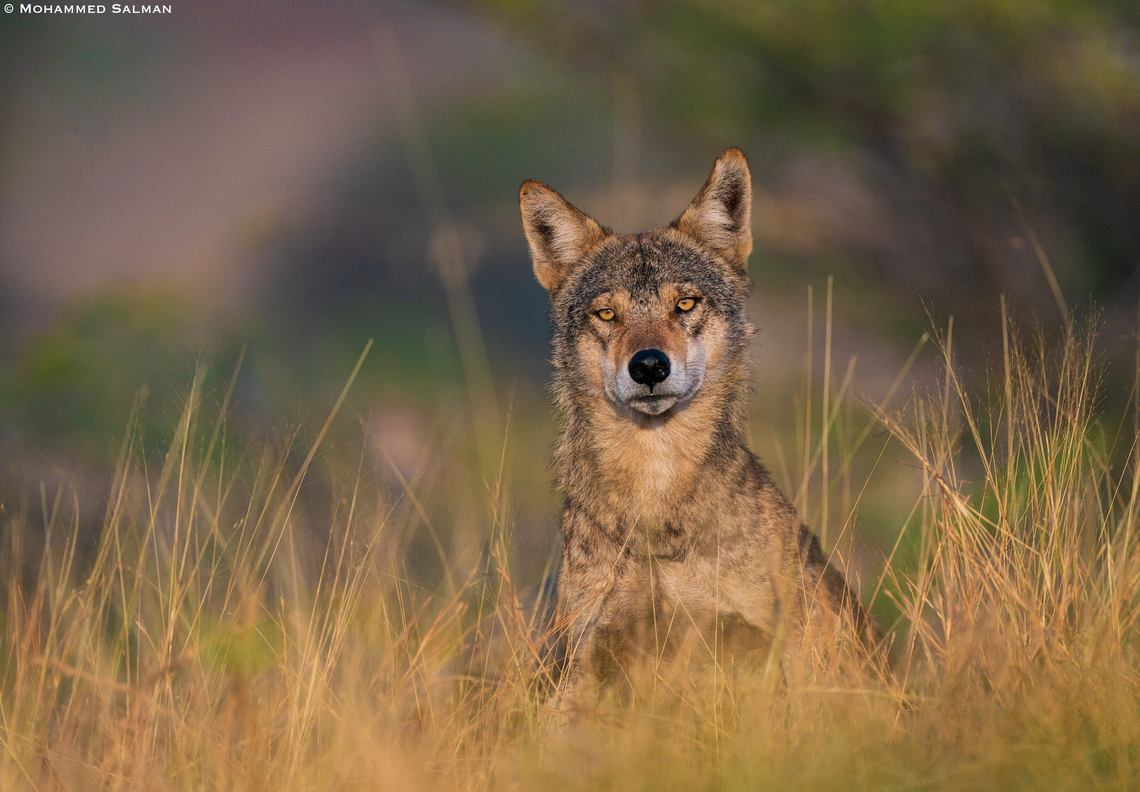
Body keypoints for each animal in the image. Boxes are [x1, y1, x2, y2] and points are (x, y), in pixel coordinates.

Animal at [519, 149, 881, 724]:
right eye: (607, 313)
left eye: (685, 305)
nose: (648, 366)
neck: (656, 501)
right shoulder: (590, 658)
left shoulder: (762, 646)